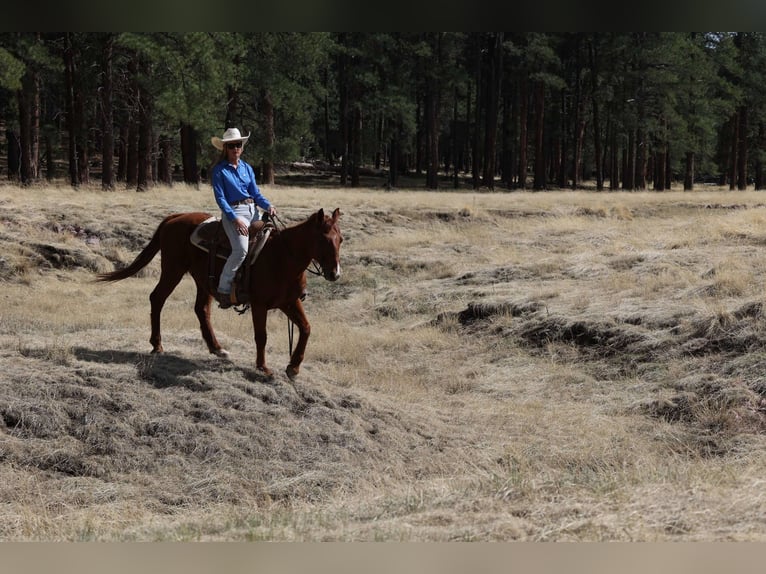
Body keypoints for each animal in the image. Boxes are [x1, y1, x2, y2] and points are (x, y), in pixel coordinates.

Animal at [96, 208, 342, 380]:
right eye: (323, 239)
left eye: (340, 239)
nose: (334, 273)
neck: (283, 257)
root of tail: (175, 218)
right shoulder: (260, 304)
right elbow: (261, 336)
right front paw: (263, 368)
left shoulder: (288, 302)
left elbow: (306, 328)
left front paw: (293, 367)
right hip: (173, 270)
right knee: (157, 299)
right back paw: (157, 345)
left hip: (203, 281)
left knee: (201, 309)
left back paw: (216, 348)